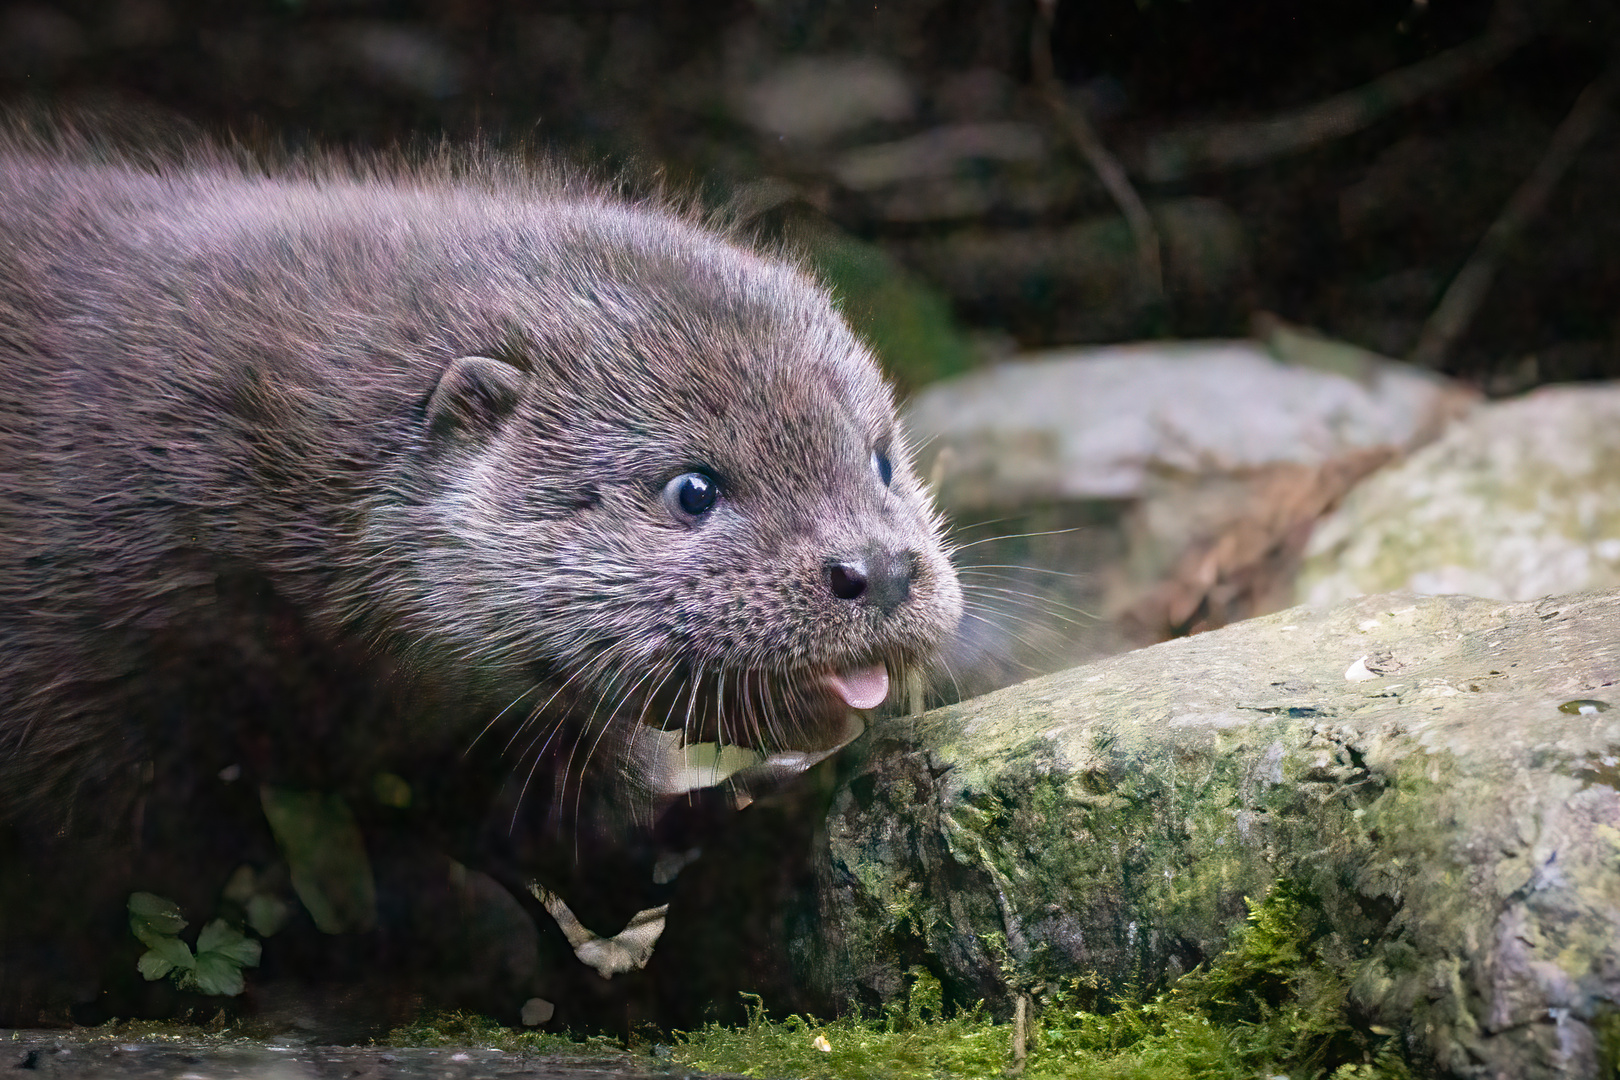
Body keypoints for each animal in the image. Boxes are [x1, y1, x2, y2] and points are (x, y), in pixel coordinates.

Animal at [0, 139, 959, 1029]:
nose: (876, 569)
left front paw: (720, 813)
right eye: (693, 488)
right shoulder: (81, 691)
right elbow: (143, 867)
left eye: (882, 459)